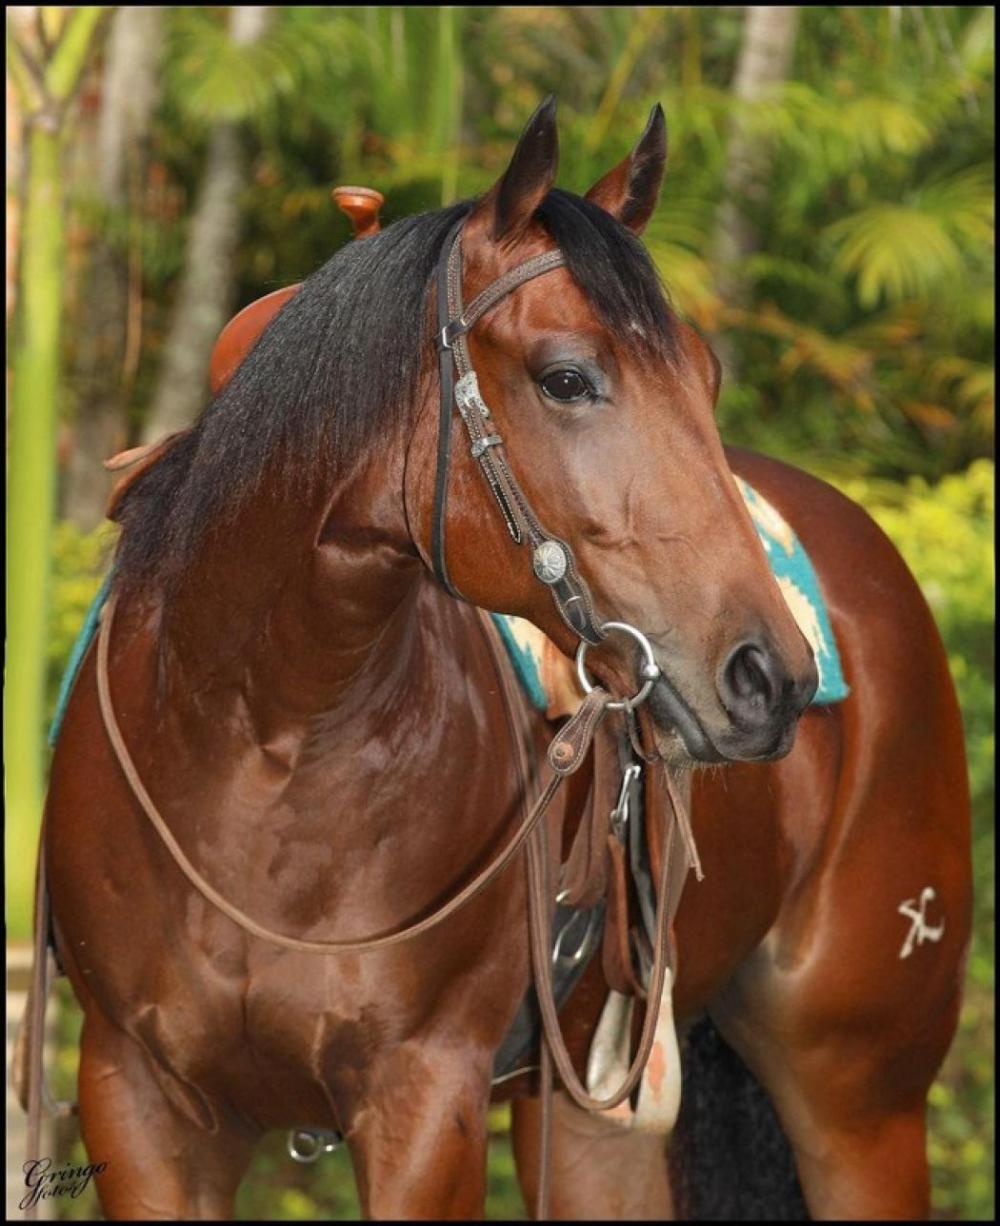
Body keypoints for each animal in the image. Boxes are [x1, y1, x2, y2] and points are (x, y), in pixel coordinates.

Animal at [38, 97, 970, 1222]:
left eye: (706, 376)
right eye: (566, 378)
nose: (769, 676)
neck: (259, 743)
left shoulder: (422, 1102)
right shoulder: (140, 1102)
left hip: (859, 1103)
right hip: (591, 1118)